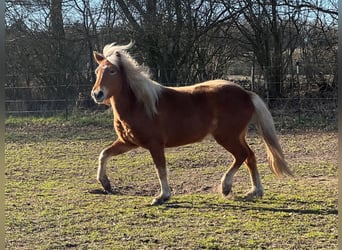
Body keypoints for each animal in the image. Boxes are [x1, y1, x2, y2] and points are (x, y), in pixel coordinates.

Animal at [90, 41, 292, 205]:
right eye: (97, 71)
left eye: (112, 71)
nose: (97, 94)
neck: (140, 104)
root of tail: (246, 94)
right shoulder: (128, 142)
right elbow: (103, 154)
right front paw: (105, 184)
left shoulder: (155, 144)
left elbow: (160, 169)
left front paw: (162, 197)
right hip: (237, 136)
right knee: (250, 156)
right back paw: (255, 191)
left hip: (227, 137)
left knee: (242, 155)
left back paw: (226, 187)